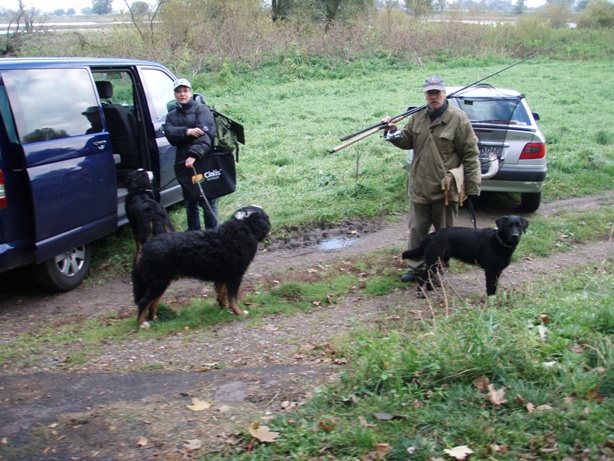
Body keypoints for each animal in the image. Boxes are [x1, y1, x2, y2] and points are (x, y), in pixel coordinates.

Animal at [134, 205, 270, 328]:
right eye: (265, 217)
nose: (269, 224)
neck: (240, 230)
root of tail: (146, 247)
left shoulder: (222, 276)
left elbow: (221, 295)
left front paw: (224, 309)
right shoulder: (234, 276)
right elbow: (233, 299)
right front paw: (239, 313)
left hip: (160, 282)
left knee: (153, 302)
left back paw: (154, 320)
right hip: (158, 281)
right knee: (144, 302)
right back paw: (142, 324)